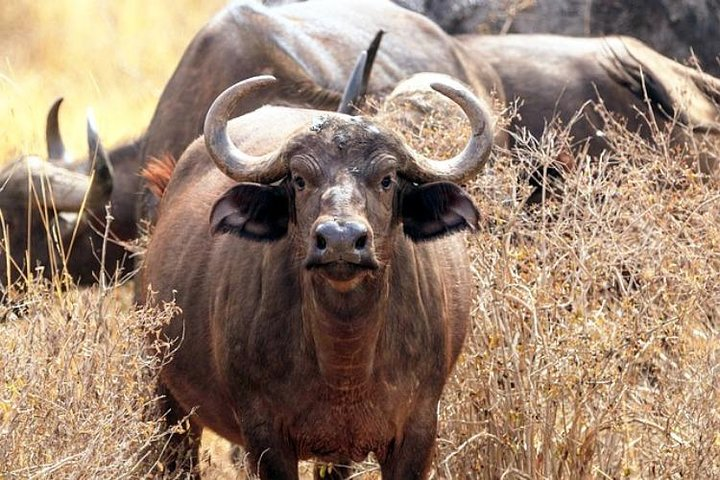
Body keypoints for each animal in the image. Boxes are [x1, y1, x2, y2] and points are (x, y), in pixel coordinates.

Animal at [141, 74, 496, 476]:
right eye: (299, 179)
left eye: (387, 179)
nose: (340, 240)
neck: (345, 361)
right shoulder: (264, 434)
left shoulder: (417, 431)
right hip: (167, 392)